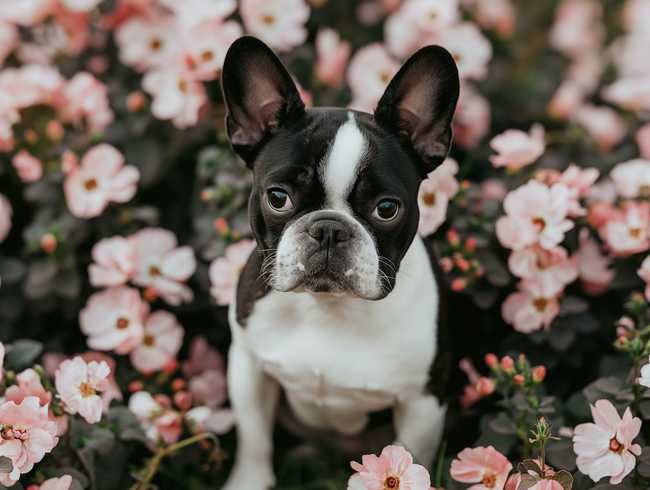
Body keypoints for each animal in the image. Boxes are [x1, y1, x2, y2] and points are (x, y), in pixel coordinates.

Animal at [220, 36, 458, 488]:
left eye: (387, 208)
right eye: (278, 198)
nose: (330, 228)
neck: (327, 307)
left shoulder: (423, 402)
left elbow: (411, 458)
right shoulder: (249, 366)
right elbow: (254, 440)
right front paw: (248, 481)